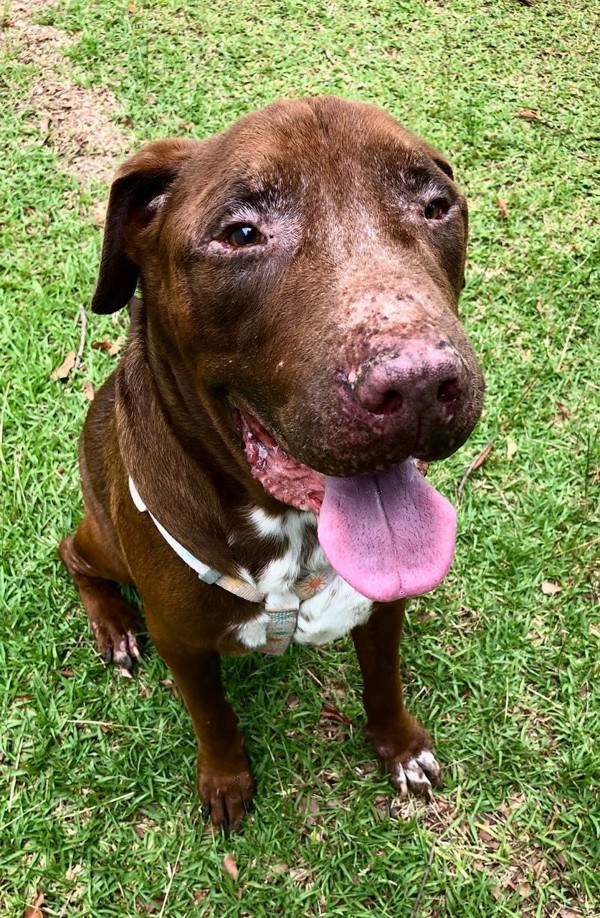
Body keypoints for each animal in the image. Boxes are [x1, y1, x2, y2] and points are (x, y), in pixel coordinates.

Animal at [60, 96, 484, 830]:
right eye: (241, 232)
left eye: (436, 206)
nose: (421, 386)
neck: (289, 530)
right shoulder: (182, 643)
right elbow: (213, 718)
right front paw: (226, 783)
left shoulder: (382, 608)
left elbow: (383, 682)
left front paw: (401, 749)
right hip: (103, 539)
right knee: (72, 555)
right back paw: (111, 625)